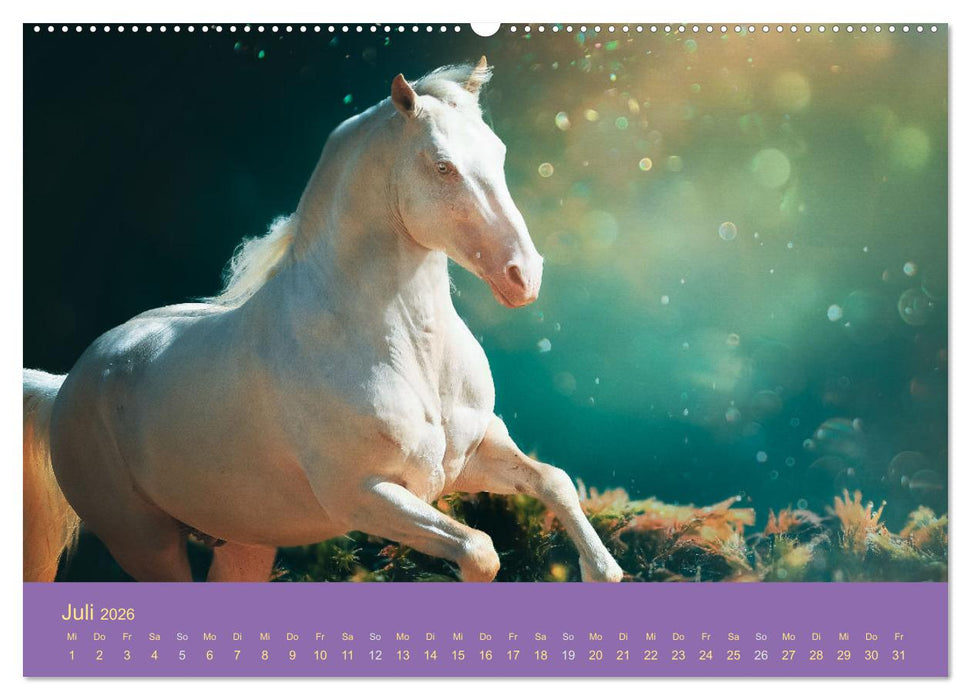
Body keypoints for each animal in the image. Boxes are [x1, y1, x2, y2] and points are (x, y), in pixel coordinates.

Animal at [23, 58, 624, 584]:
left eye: (497, 153)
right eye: (442, 165)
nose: (524, 274)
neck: (406, 351)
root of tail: (66, 386)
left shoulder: (474, 455)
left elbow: (554, 481)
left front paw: (603, 571)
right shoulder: (366, 496)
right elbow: (479, 550)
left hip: (245, 543)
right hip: (145, 544)